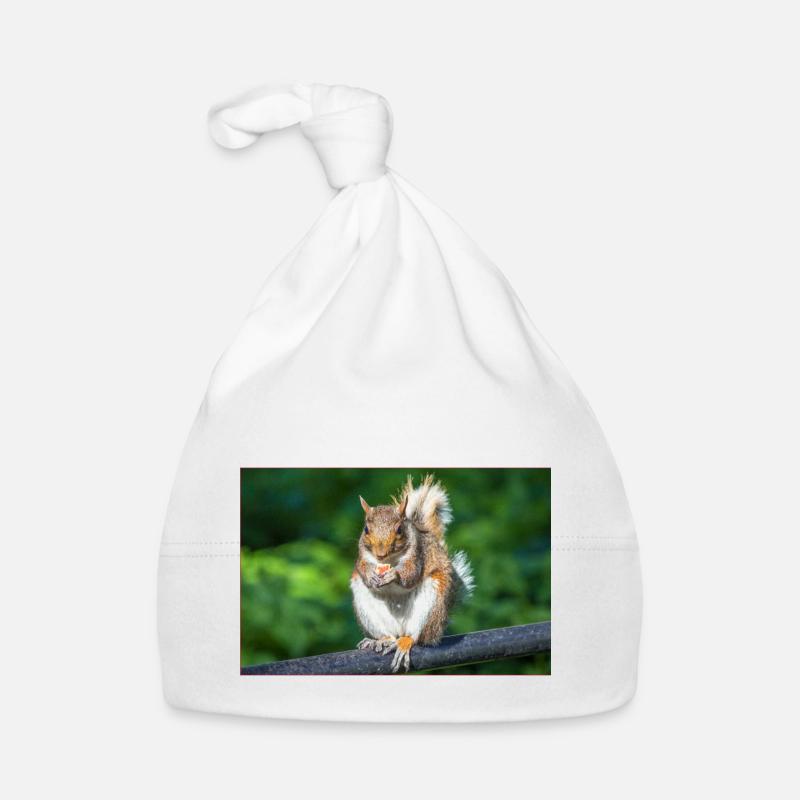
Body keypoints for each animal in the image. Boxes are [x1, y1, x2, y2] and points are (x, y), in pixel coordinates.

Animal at [350, 474, 474, 672]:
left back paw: (405, 642)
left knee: (417, 636)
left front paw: (394, 575)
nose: (380, 554)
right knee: (388, 634)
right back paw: (381, 640)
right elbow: (362, 567)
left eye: (399, 530)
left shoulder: (417, 555)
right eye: (366, 530)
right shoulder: (362, 554)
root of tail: (401, 629)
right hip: (365, 603)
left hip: (432, 603)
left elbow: (410, 574)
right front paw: (370, 574)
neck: (390, 560)